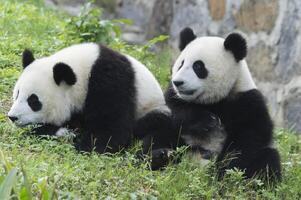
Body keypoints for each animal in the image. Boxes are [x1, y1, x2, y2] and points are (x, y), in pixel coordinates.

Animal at [7, 43, 170, 153]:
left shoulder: (111, 82)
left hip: (153, 108)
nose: (12, 117)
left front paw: (78, 141)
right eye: (17, 94)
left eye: (33, 101)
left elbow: (111, 132)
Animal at [146, 27, 280, 181]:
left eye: (198, 66)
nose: (178, 82)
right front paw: (207, 121)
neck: (213, 101)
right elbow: (173, 110)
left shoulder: (247, 102)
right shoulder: (174, 95)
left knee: (267, 159)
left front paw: (224, 172)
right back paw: (160, 156)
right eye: (181, 64)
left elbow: (250, 139)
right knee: (159, 134)